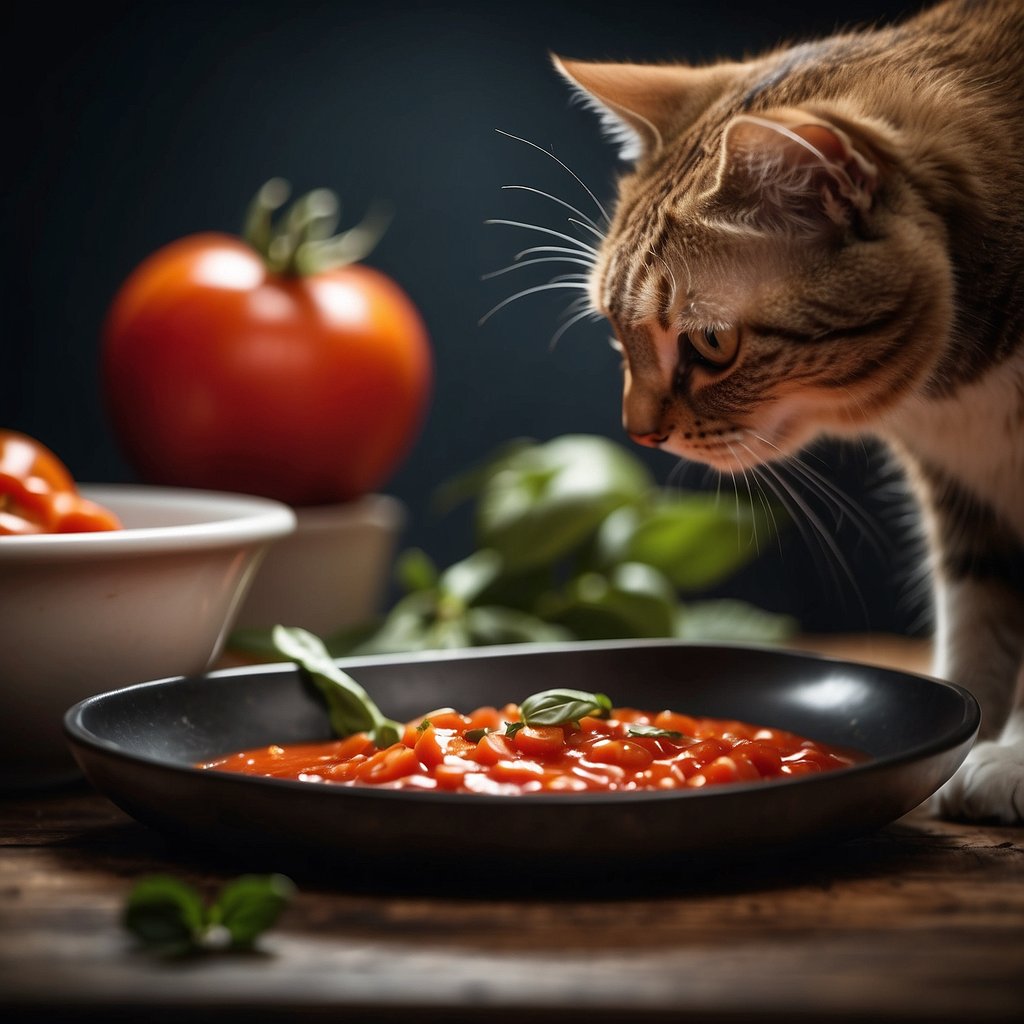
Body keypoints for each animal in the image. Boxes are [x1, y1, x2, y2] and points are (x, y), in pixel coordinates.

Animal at [552, 0, 1024, 823]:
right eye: (615, 326)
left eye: (711, 343)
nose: (638, 432)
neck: (971, 389)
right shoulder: (965, 496)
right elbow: (976, 629)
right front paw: (963, 750)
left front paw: (1010, 760)